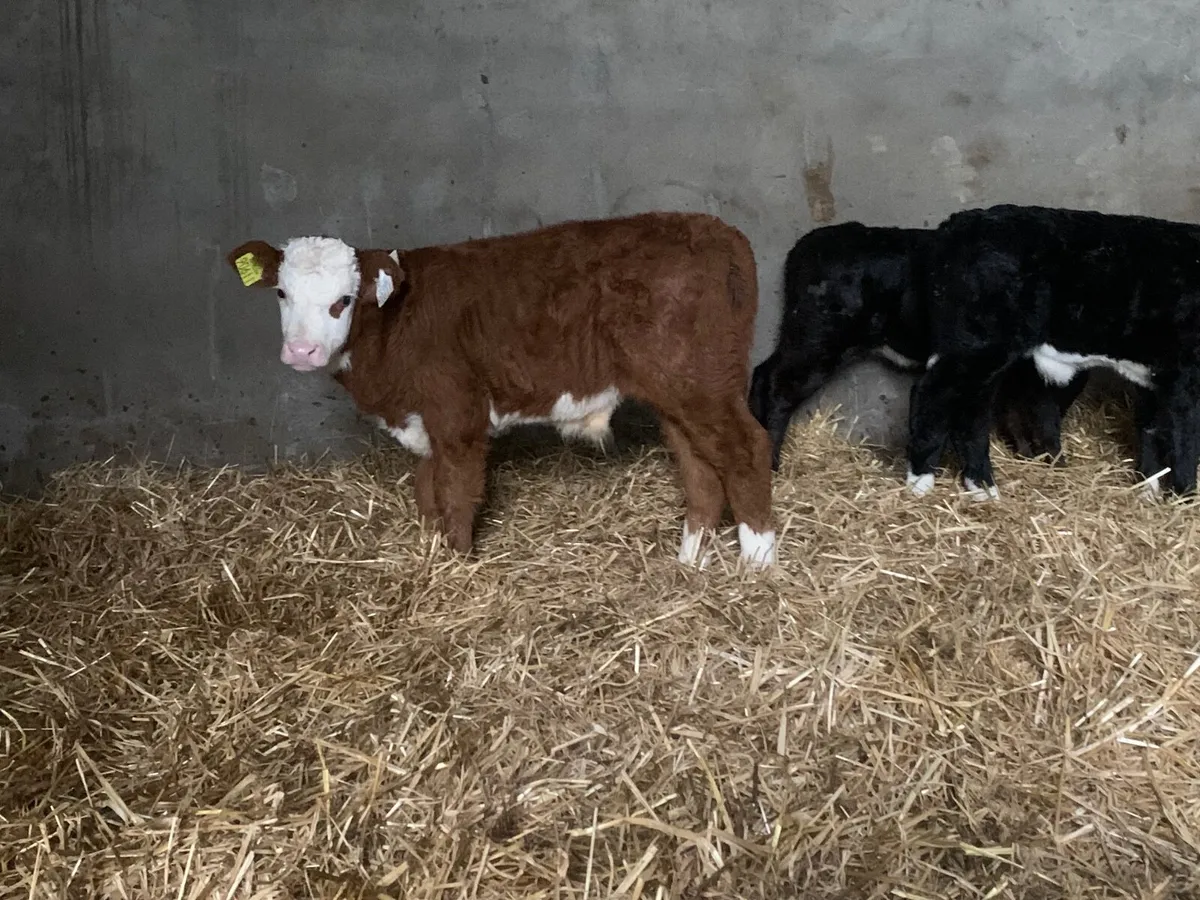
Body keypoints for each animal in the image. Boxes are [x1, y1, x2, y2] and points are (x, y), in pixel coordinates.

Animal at [226, 212, 777, 567]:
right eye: (282, 293)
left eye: (343, 300)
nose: (302, 352)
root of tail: (720, 232)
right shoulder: (427, 422)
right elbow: (426, 490)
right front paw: (432, 559)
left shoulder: (457, 413)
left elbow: (456, 492)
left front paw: (458, 569)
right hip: (680, 391)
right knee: (700, 466)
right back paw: (688, 566)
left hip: (701, 383)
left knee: (745, 451)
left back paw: (758, 569)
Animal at [748, 221, 1088, 481]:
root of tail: (805, 247)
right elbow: (1041, 415)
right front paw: (1055, 462)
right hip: (819, 338)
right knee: (779, 388)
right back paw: (772, 464)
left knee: (764, 373)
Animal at [906, 203, 1200, 501]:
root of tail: (959, 223)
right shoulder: (1186, 379)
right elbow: (1185, 440)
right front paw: (1184, 497)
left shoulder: (1155, 376)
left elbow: (1151, 429)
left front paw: (1148, 491)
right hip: (978, 343)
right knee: (932, 394)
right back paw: (921, 481)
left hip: (984, 354)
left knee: (972, 410)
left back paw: (982, 487)